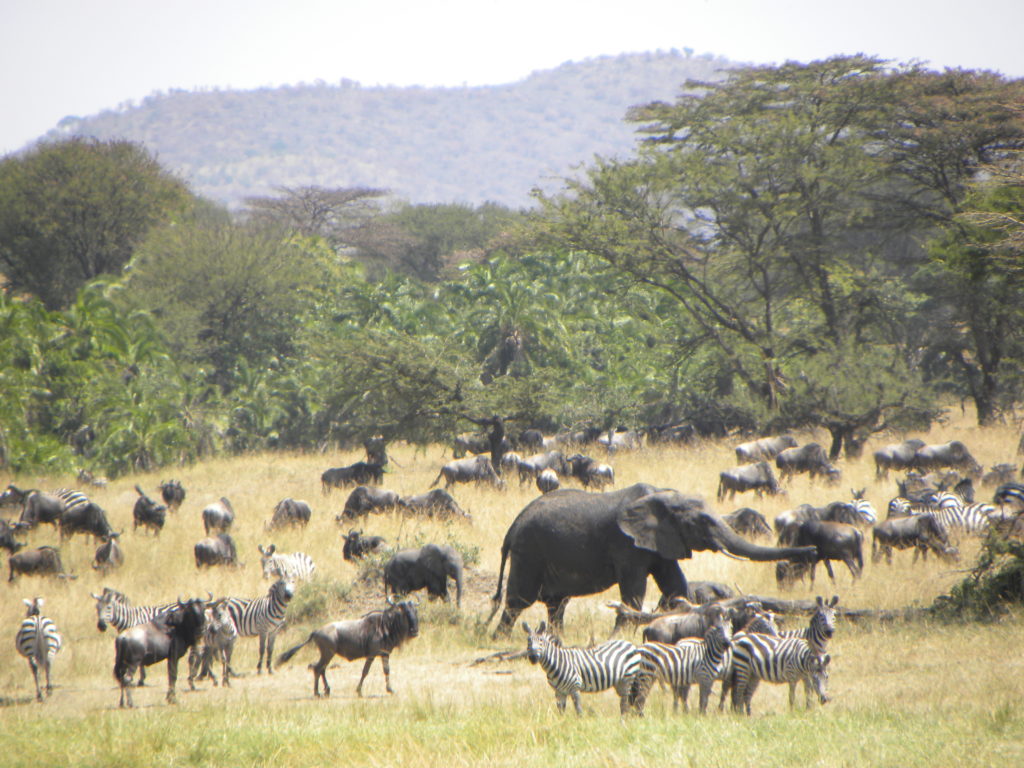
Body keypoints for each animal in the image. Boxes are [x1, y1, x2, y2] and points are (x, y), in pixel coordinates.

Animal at [276, 598, 419, 700]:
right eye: (405, 613)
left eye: (415, 612)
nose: (415, 631)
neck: (386, 626)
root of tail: (316, 631)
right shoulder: (372, 655)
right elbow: (365, 672)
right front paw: (359, 691)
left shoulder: (385, 654)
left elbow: (387, 671)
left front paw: (390, 689)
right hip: (328, 653)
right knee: (317, 668)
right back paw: (318, 693)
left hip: (327, 654)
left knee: (320, 668)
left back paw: (326, 690)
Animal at [487, 487, 815, 638]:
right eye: (703, 522)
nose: (812, 550)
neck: (664, 498)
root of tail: (513, 525)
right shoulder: (626, 544)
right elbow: (633, 588)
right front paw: (619, 636)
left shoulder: (661, 541)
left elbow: (675, 584)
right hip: (529, 551)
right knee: (519, 599)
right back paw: (500, 638)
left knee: (557, 603)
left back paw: (557, 638)